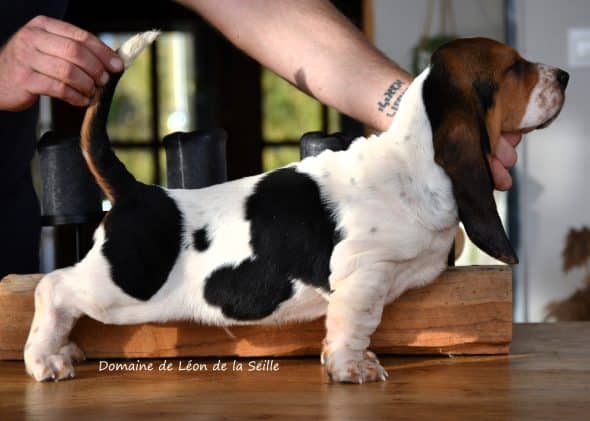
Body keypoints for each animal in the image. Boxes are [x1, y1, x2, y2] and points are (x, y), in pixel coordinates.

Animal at [24, 32, 568, 380]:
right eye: (514, 67)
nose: (564, 74)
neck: (414, 158)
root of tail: (138, 192)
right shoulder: (364, 273)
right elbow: (355, 323)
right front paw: (351, 369)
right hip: (122, 288)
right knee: (53, 288)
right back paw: (44, 359)